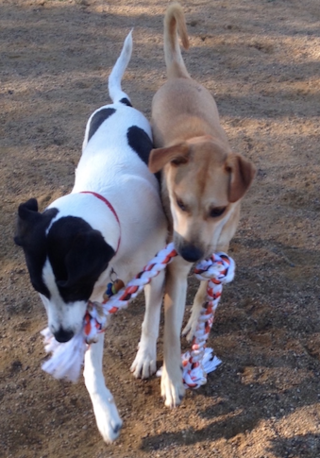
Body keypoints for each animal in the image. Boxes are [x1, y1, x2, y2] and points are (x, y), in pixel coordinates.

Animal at [14, 32, 168, 444]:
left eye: (70, 285)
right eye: (39, 289)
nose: (62, 336)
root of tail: (119, 104)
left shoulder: (154, 269)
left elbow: (151, 320)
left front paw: (146, 357)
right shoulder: (92, 302)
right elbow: (89, 370)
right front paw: (105, 414)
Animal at [148, 4, 255, 408]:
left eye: (218, 210)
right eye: (179, 202)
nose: (191, 253)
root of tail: (179, 77)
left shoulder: (219, 247)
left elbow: (206, 290)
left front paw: (196, 319)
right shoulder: (175, 271)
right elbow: (168, 331)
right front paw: (173, 379)